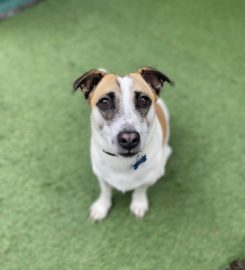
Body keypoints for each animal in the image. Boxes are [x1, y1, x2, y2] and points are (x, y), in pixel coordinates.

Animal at [73, 66, 173, 220]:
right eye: (104, 102)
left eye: (144, 100)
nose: (129, 139)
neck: (121, 162)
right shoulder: (101, 176)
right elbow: (105, 191)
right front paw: (101, 207)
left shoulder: (147, 180)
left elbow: (140, 189)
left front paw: (139, 204)